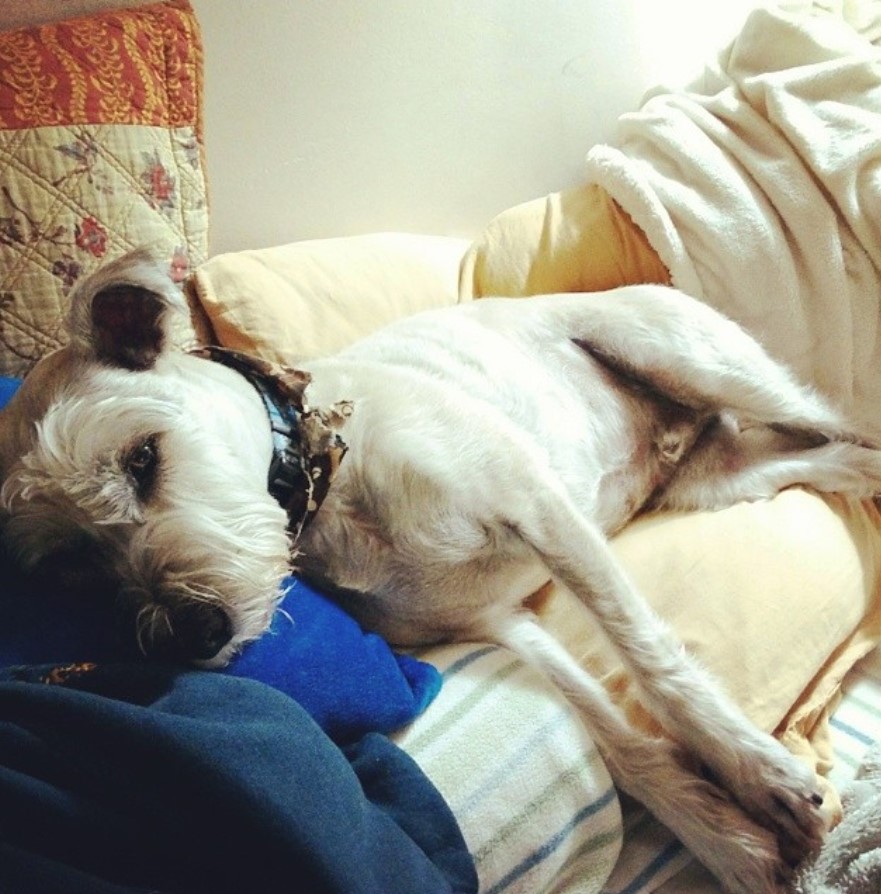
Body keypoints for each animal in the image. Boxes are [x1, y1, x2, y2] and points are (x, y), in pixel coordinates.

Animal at [3, 252, 876, 894]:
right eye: (70, 561)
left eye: (142, 457)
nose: (191, 632)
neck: (329, 484)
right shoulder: (499, 624)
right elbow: (619, 742)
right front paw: (725, 839)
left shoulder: (538, 508)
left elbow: (650, 659)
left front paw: (759, 776)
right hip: (719, 480)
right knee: (828, 459)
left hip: (699, 363)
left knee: (841, 422)